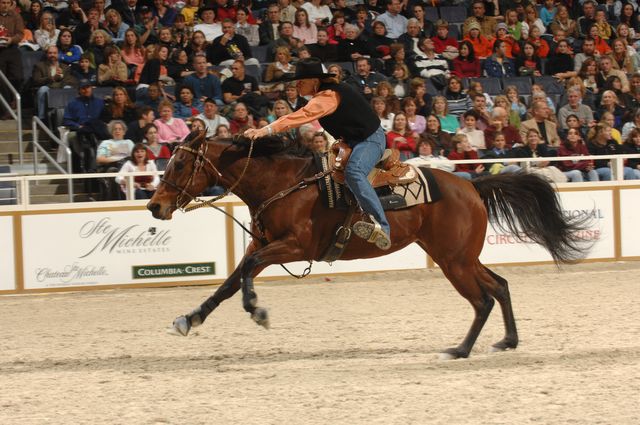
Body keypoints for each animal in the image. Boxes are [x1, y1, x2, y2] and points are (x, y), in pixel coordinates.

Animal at [148, 130, 588, 358]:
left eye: (181, 163)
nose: (154, 205)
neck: (283, 183)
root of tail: (472, 185)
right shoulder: (264, 243)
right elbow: (230, 281)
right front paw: (189, 319)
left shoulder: (294, 247)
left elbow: (248, 274)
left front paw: (257, 310)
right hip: (458, 256)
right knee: (500, 286)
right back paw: (508, 341)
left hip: (454, 261)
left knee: (482, 299)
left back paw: (460, 350)